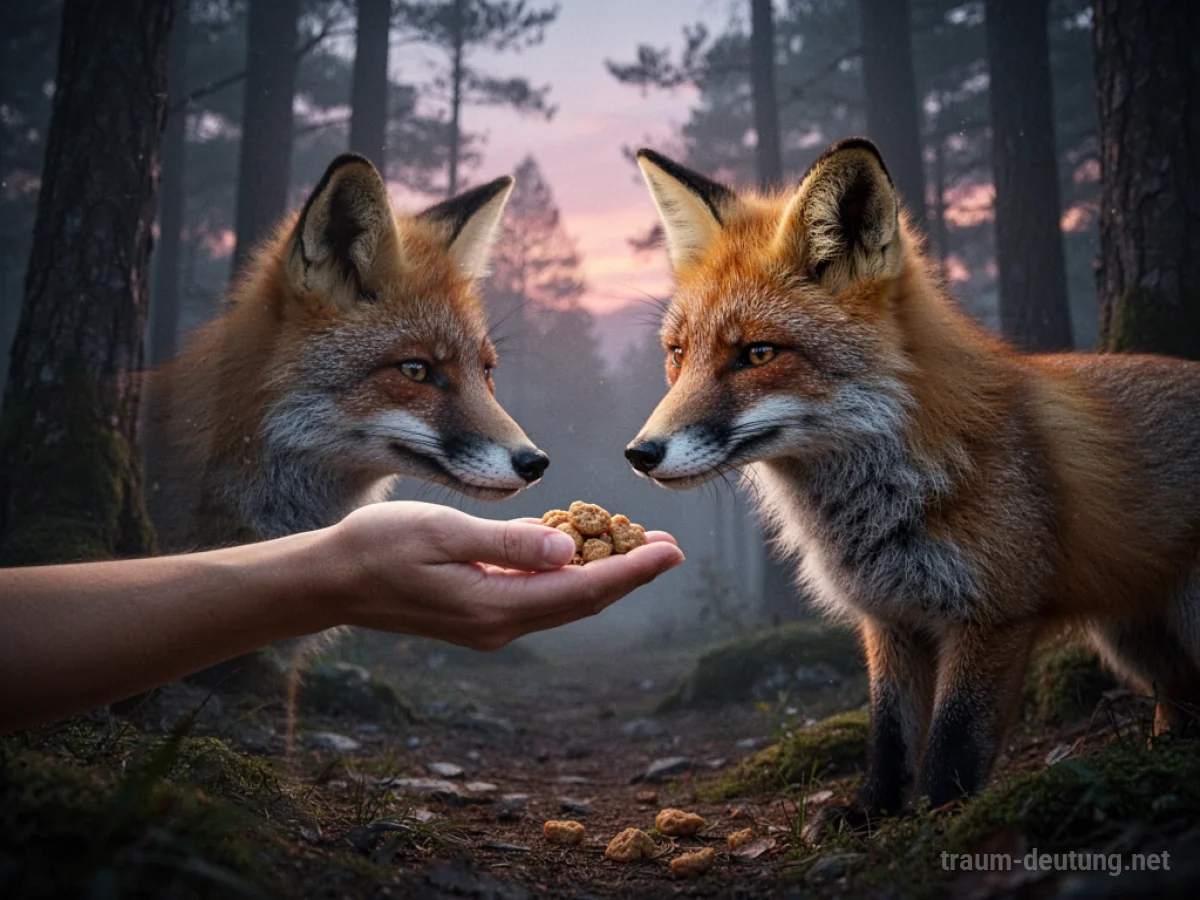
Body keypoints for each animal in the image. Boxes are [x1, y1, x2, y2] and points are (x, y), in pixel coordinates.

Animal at [624, 137, 1200, 823]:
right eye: (677, 354)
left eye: (758, 354)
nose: (639, 453)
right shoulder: (889, 618)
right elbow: (890, 733)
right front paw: (871, 812)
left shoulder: (993, 613)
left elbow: (954, 739)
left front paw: (941, 820)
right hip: (1131, 637)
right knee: (1181, 695)